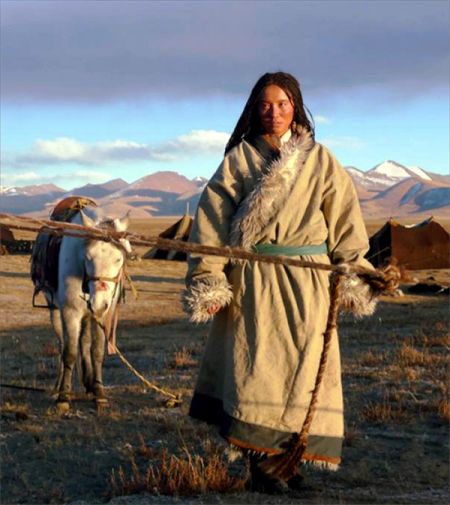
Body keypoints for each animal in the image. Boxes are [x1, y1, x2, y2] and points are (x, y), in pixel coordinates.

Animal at [44, 207, 131, 408]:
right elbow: (69, 352)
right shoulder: (70, 312)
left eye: (118, 259)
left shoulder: (102, 315)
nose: (98, 303)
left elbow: (97, 351)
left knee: (84, 342)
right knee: (62, 345)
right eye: (88, 257)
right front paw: (64, 396)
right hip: (55, 311)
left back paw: (89, 383)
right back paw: (57, 387)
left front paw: (98, 391)